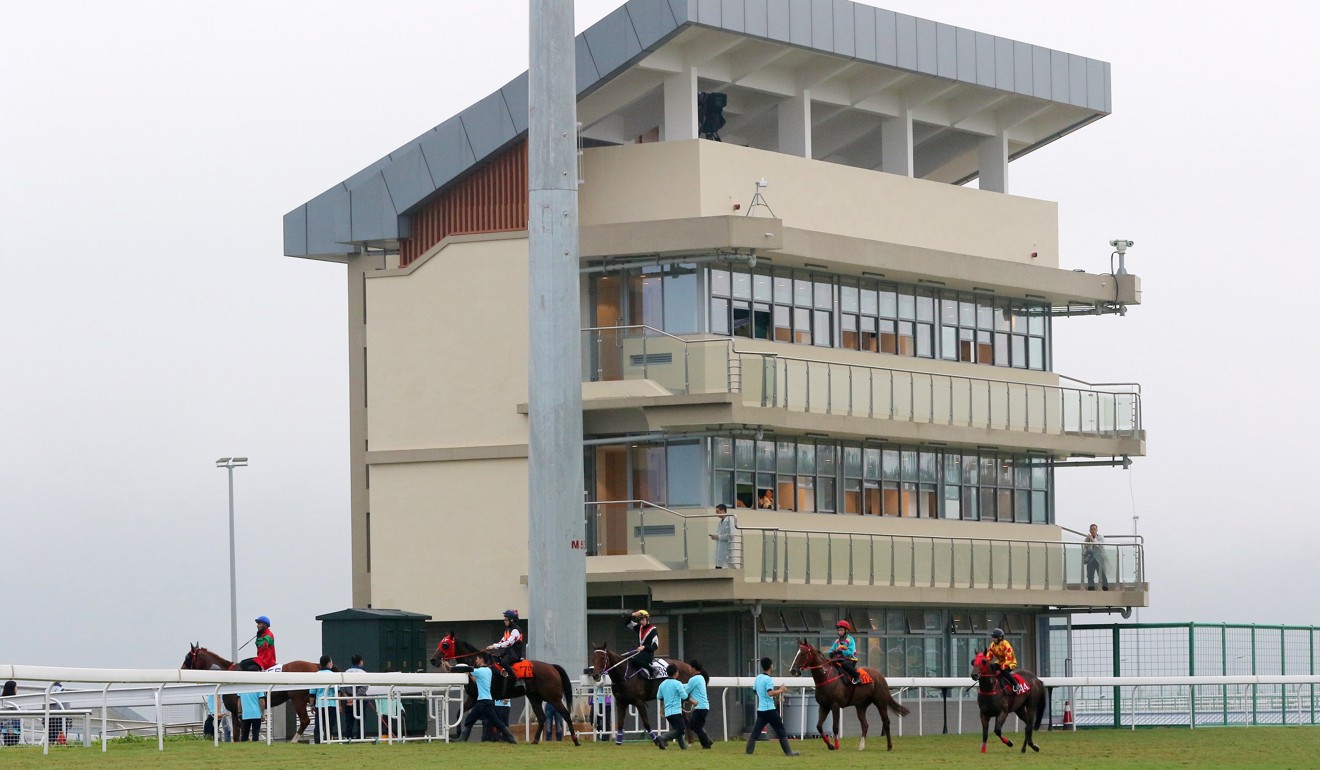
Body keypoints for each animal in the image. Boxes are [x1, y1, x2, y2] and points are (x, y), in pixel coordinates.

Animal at [180, 644, 322, 744]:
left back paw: (293, 740)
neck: (228, 674)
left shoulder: (240, 711)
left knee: (305, 720)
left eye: (187, 657)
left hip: (298, 698)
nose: (181, 669)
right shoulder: (235, 711)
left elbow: (242, 731)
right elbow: (237, 734)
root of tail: (314, 666)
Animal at [430, 633, 580, 744]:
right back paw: (535, 740)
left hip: (553, 698)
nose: (433, 660)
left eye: (445, 644)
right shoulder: (473, 697)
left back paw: (575, 740)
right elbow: (459, 713)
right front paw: (458, 734)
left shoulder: (481, 698)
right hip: (534, 698)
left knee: (566, 714)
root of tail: (552, 667)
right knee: (542, 718)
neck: (478, 664)